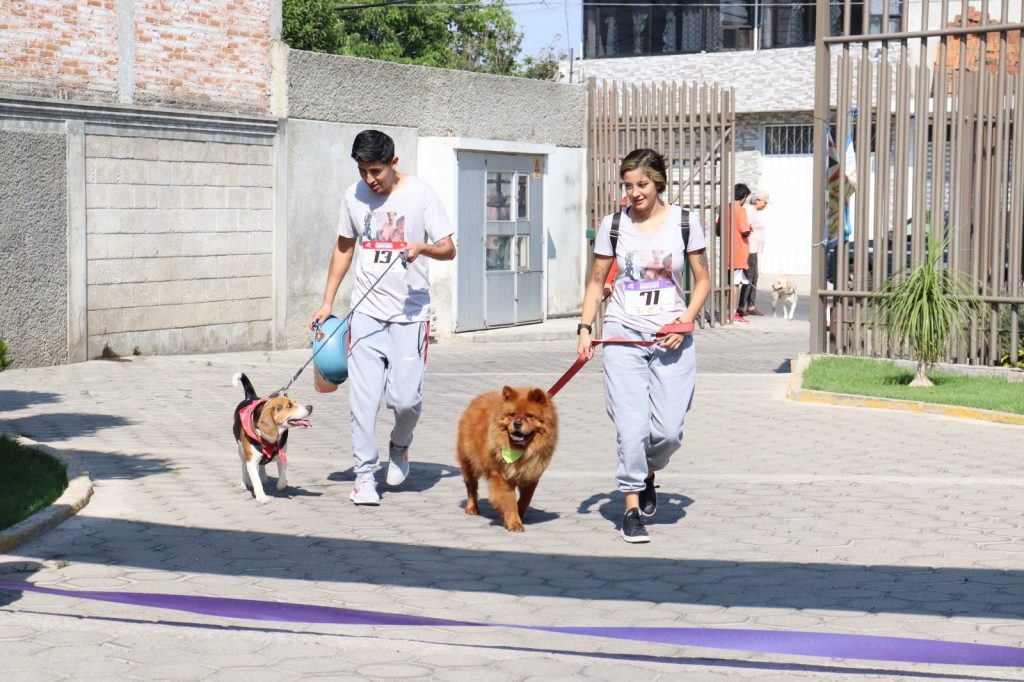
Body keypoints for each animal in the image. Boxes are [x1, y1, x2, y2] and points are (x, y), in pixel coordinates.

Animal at [232, 373, 312, 503]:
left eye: (295, 402)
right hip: (241, 450)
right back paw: (245, 482)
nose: (310, 407)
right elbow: (256, 481)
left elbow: (283, 477)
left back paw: (264, 477)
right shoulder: (251, 461)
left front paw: (280, 486)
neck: (270, 441)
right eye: (289, 405)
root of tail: (251, 397)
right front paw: (261, 497)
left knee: (262, 466)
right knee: (244, 467)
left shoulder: (282, 455)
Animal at [456, 386, 558, 532]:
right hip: (468, 463)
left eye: (530, 416)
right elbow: (510, 501)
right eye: (512, 415)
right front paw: (514, 523)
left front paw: (519, 514)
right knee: (471, 487)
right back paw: (472, 508)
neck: (522, 452)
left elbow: (525, 500)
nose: (517, 423)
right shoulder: (503, 477)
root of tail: (477, 399)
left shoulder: (531, 476)